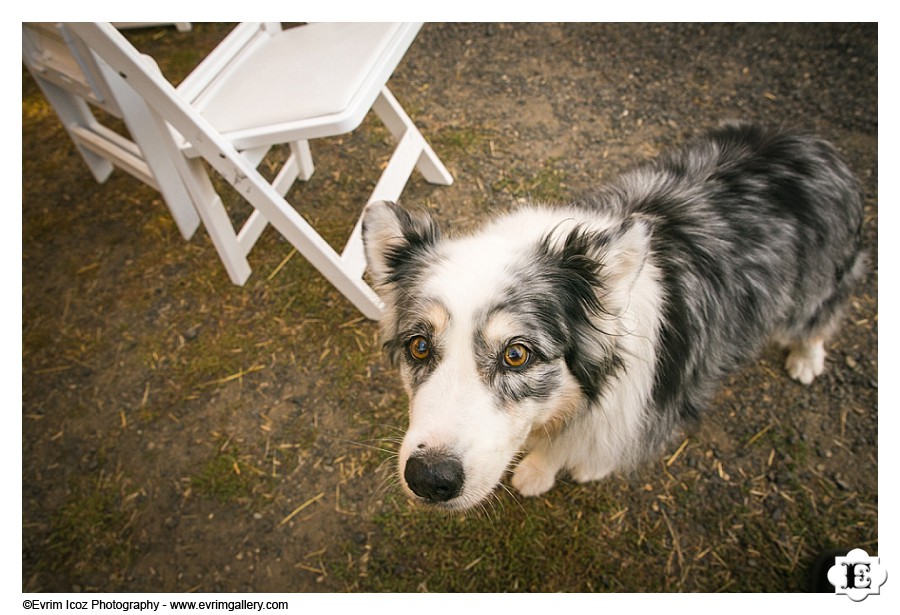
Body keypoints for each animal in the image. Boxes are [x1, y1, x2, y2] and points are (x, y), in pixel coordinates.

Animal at [358, 121, 864, 510]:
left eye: (517, 355)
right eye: (418, 346)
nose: (429, 479)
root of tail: (815, 143)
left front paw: (570, 470)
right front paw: (540, 468)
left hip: (815, 287)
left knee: (820, 317)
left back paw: (807, 359)